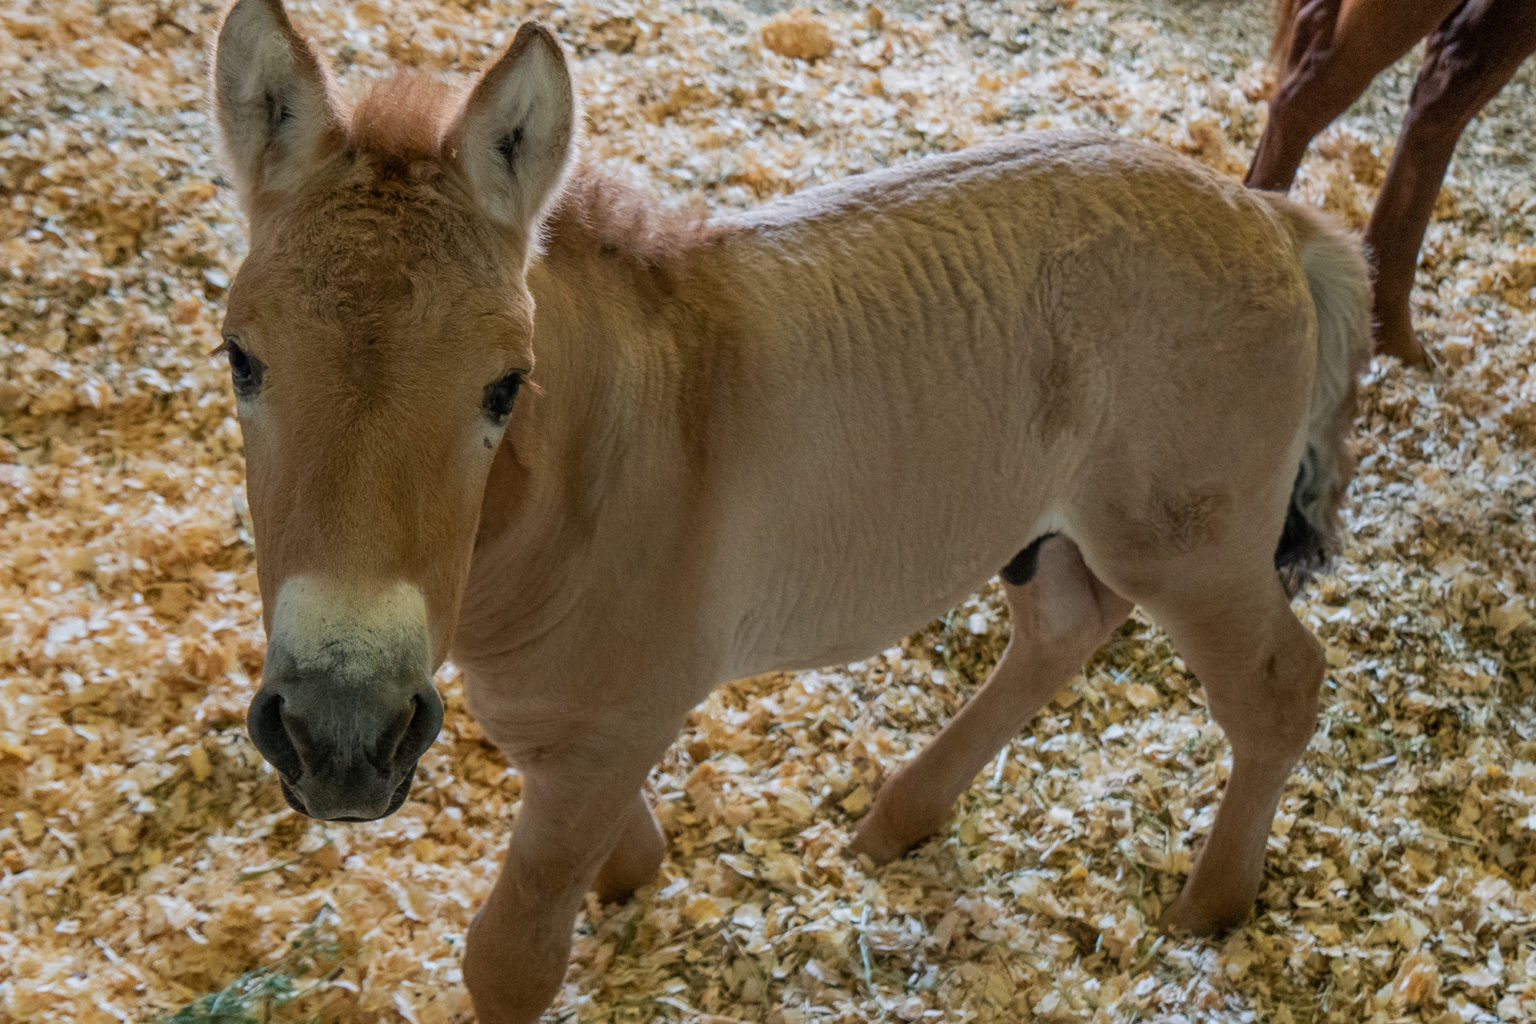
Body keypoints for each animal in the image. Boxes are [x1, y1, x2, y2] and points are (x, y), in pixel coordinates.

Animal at [213, 4, 1370, 1019]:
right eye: (239, 358)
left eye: (506, 385)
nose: (339, 734)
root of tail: (1267, 216)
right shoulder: (559, 722)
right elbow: (613, 844)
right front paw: (639, 876)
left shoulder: (614, 728)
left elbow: (512, 958)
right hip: (1048, 530)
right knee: (1063, 628)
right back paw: (901, 818)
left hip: (1189, 547)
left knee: (1278, 686)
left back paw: (1210, 905)